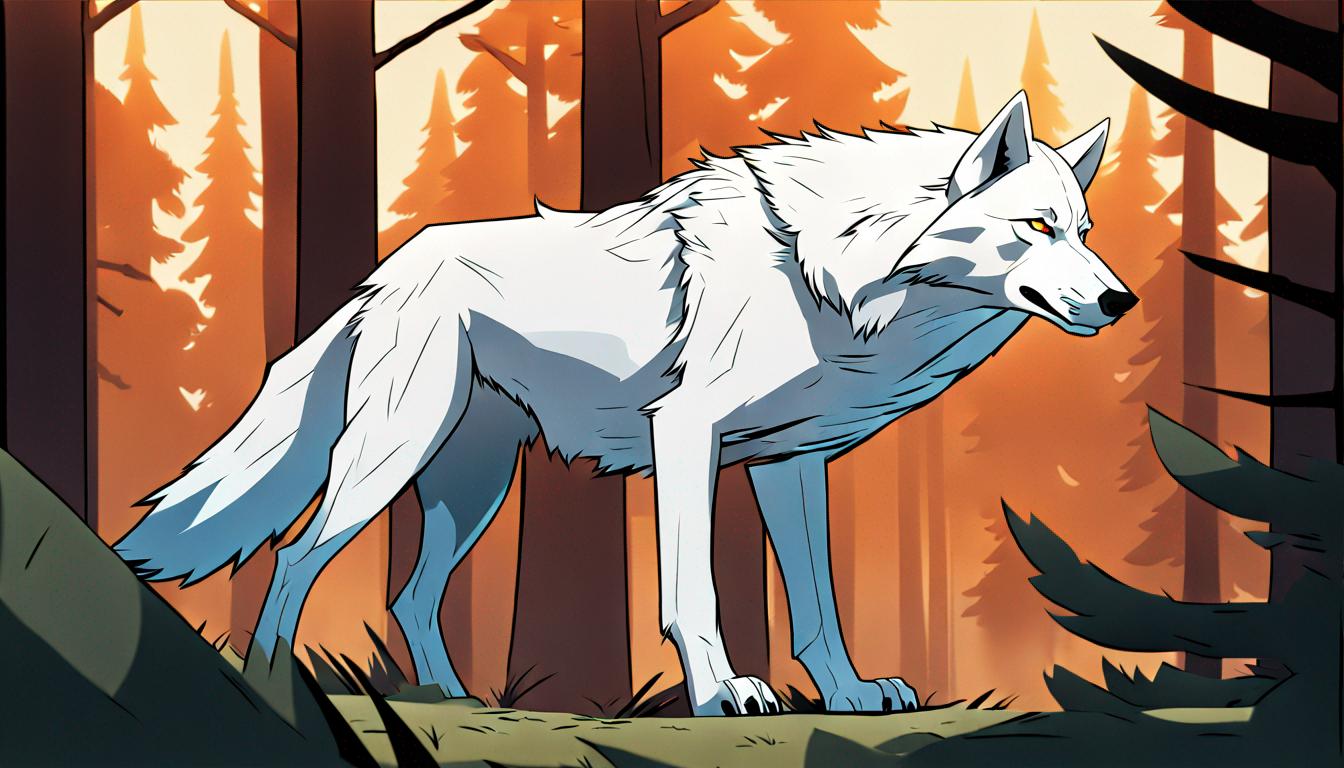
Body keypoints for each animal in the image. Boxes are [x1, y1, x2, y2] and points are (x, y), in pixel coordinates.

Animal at [117, 91, 1131, 716]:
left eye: (1084, 229)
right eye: (1036, 226)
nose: (1120, 300)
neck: (831, 272)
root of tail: (384, 272)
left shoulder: (790, 463)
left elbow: (817, 605)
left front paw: (847, 695)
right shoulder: (688, 434)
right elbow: (695, 590)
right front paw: (724, 695)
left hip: (472, 489)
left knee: (408, 597)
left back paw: (451, 697)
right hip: (391, 460)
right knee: (295, 559)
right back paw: (274, 682)